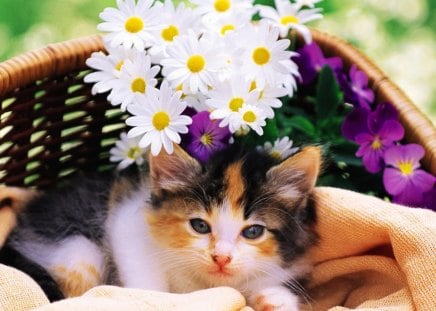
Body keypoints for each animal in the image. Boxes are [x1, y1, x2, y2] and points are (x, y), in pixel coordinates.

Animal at [0, 145, 320, 310]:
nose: (221, 257)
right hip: (76, 248)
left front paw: (275, 298)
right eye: (200, 225)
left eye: (253, 231)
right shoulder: (127, 220)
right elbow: (145, 283)